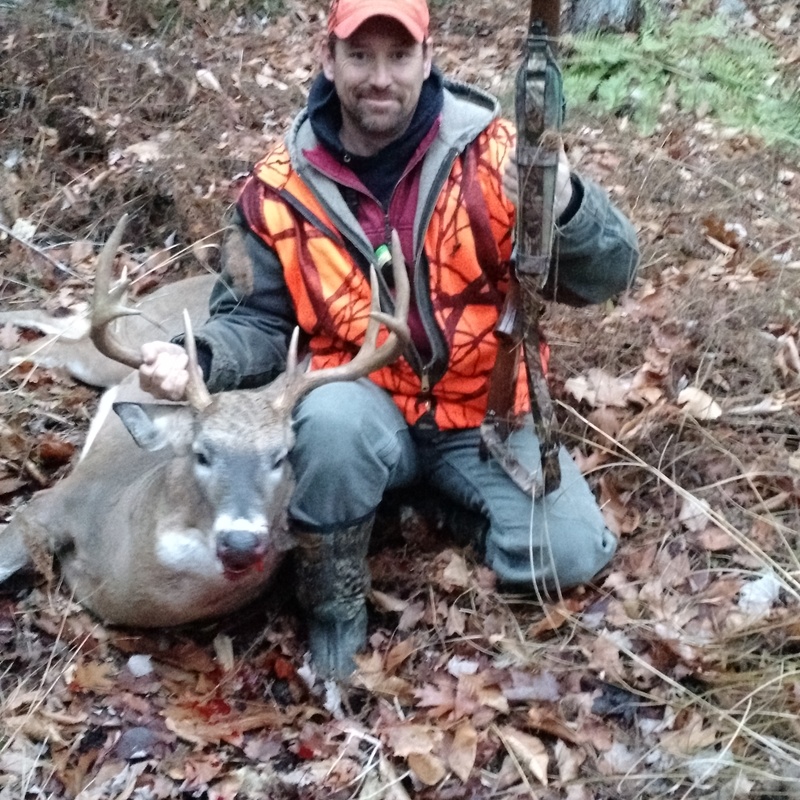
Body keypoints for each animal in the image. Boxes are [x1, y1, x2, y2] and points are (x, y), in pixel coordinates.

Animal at [0, 216, 410, 627]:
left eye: (281, 457)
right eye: (201, 454)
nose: (240, 542)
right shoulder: (59, 498)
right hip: (116, 347)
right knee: (57, 342)